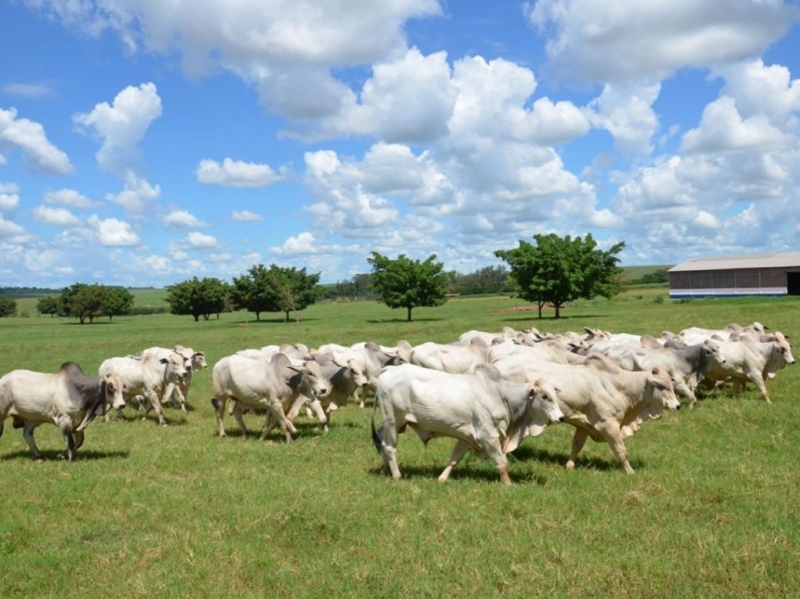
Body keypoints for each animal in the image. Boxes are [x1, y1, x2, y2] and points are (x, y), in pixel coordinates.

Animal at [370, 364, 564, 486]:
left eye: (555, 394)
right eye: (544, 396)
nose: (561, 417)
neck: (501, 395)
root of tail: (389, 369)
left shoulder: (466, 435)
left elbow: (454, 459)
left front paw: (442, 478)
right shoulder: (488, 436)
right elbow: (501, 462)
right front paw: (509, 484)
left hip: (392, 424)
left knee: (380, 440)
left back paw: (385, 470)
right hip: (393, 420)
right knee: (389, 447)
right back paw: (397, 475)